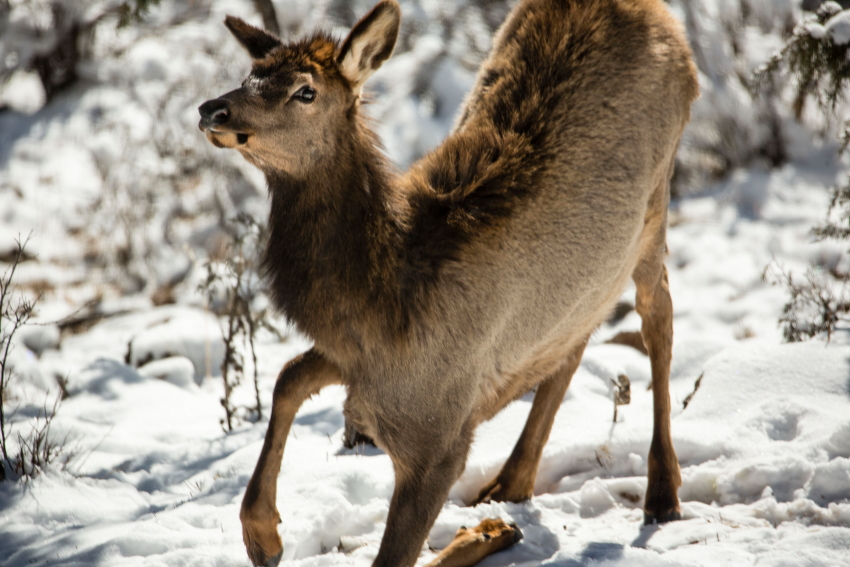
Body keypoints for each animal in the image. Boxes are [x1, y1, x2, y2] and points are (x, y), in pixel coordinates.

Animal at [198, 0, 698, 566]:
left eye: (306, 91)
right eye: (250, 75)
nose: (213, 110)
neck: (384, 297)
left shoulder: (438, 436)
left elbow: (393, 555)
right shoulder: (362, 366)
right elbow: (288, 377)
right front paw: (262, 534)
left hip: (655, 206)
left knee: (658, 317)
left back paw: (661, 492)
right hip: (595, 270)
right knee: (575, 339)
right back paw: (508, 486)